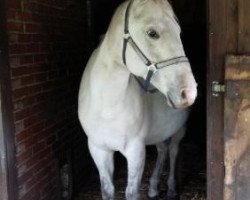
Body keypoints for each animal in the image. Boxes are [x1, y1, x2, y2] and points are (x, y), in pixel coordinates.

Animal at [78, 0, 197, 199]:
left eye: (179, 32)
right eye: (152, 33)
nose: (188, 92)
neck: (107, 106)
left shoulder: (135, 151)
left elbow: (131, 193)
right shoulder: (98, 149)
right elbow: (107, 190)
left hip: (179, 129)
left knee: (172, 152)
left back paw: (171, 188)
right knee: (162, 150)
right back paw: (153, 187)